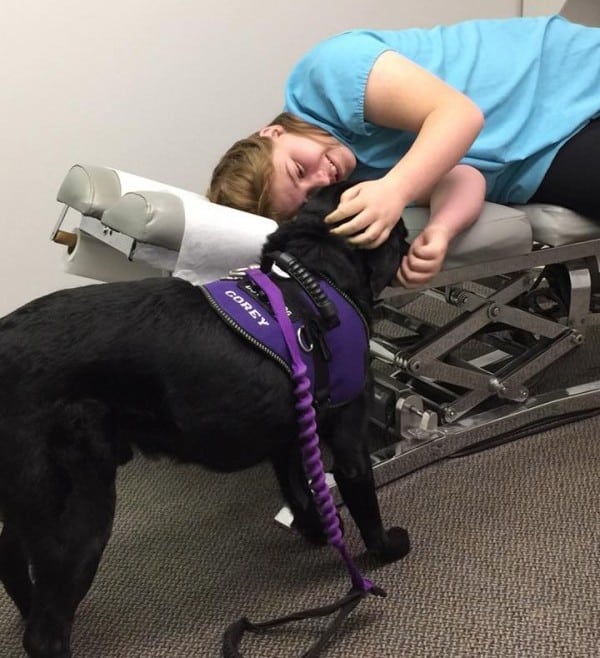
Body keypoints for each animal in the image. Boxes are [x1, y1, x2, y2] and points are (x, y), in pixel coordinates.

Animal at [0, 181, 410, 656]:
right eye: (401, 232)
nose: (413, 239)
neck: (314, 277)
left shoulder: (288, 438)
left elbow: (300, 493)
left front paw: (318, 532)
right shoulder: (348, 443)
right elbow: (364, 504)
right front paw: (387, 548)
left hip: (27, 503)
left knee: (12, 562)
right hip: (78, 505)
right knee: (45, 631)